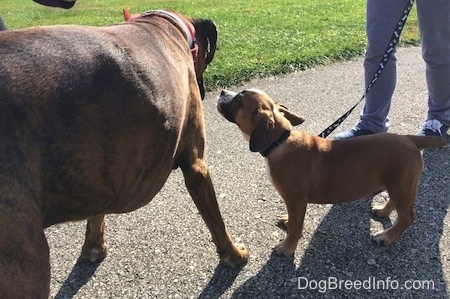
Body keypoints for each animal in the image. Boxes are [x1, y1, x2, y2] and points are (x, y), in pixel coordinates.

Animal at [0, 10, 248, 298]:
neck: (163, 25)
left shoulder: (101, 175)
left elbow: (96, 216)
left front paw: (93, 248)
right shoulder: (196, 165)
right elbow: (217, 221)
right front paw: (234, 255)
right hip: (27, 263)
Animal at [217, 89, 446, 258]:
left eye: (239, 99)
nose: (222, 92)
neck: (279, 141)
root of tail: (409, 139)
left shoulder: (296, 200)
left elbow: (296, 227)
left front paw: (287, 247)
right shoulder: (293, 203)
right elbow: (293, 221)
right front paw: (287, 221)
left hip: (401, 186)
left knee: (408, 217)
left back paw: (387, 237)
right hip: (397, 184)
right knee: (397, 207)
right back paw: (383, 212)